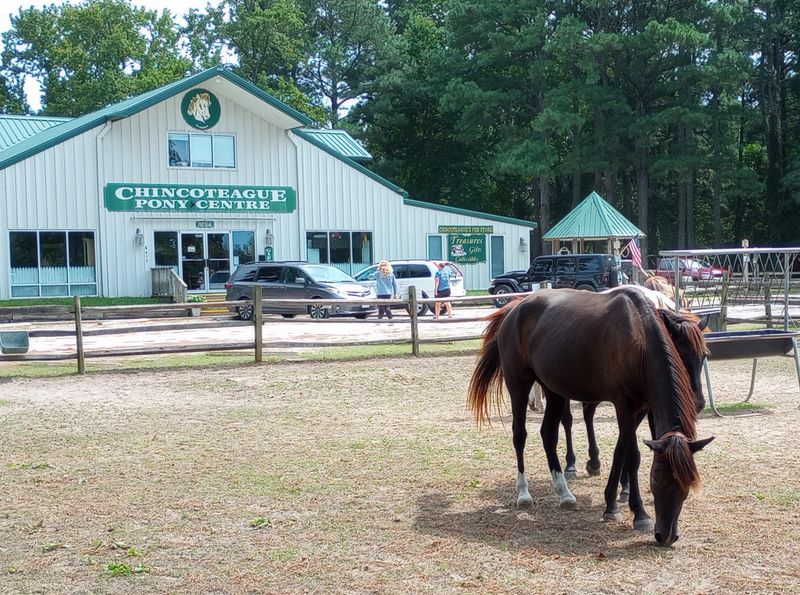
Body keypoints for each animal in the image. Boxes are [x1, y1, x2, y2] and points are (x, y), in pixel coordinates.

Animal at [467, 287, 713, 546]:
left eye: (687, 483)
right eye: (656, 478)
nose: (666, 535)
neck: (639, 338)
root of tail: (514, 308)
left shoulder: (643, 407)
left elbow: (620, 451)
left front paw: (611, 502)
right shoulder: (624, 405)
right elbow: (632, 455)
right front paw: (639, 513)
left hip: (553, 389)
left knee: (548, 435)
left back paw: (564, 493)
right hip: (519, 385)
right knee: (520, 435)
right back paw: (524, 493)